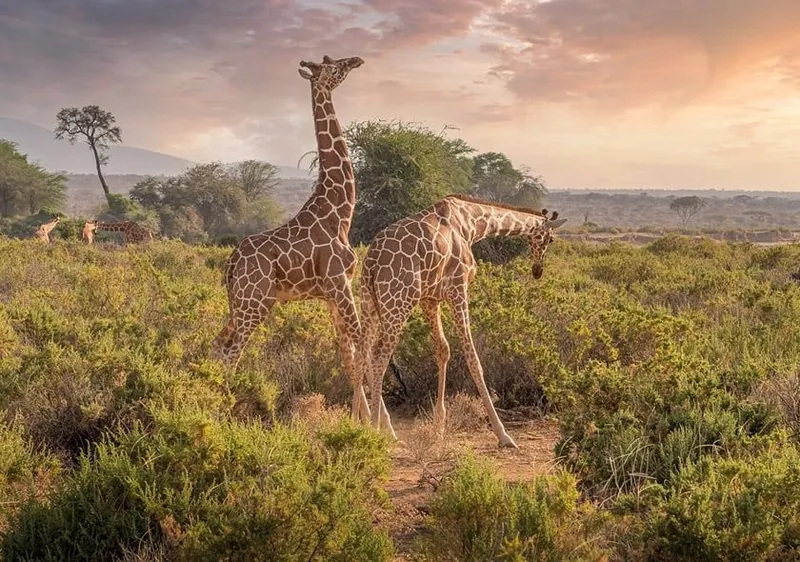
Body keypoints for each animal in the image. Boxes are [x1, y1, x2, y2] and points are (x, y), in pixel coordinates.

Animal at [211, 54, 390, 424]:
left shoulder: (331, 294)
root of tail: (231, 263)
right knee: (232, 350)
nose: (357, 59)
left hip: (239, 303)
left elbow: (348, 353)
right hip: (256, 303)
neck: (340, 212)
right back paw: (223, 412)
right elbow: (362, 345)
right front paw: (380, 424)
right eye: (334, 66)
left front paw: (361, 420)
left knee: (218, 344)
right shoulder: (340, 284)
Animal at [356, 194, 567, 448]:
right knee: (379, 355)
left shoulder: (430, 298)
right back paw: (376, 431)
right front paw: (503, 434)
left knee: (361, 353)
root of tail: (371, 261)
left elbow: (443, 349)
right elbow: (472, 357)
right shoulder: (458, 288)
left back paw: (355, 423)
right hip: (398, 301)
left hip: (369, 301)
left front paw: (439, 426)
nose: (537, 270)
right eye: (551, 239)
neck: (472, 224)